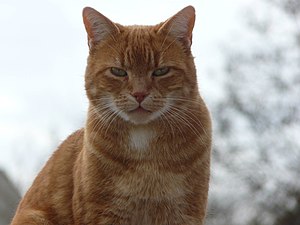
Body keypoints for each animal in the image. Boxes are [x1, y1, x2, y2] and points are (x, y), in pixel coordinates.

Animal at [9, 5, 211, 225]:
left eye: (161, 71)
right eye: (118, 71)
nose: (139, 94)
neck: (146, 158)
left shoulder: (185, 212)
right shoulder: (102, 213)